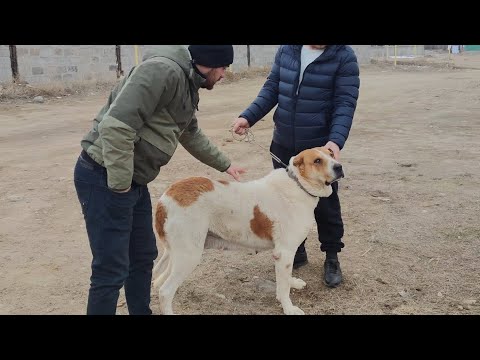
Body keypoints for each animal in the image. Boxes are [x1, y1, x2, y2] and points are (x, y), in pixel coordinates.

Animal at [152, 146, 344, 316]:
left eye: (331, 153)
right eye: (317, 161)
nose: (339, 167)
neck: (298, 184)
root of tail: (166, 197)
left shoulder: (284, 254)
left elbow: (285, 278)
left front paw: (292, 283)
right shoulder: (284, 252)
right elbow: (283, 288)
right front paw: (289, 308)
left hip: (176, 253)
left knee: (159, 280)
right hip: (189, 256)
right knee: (165, 291)